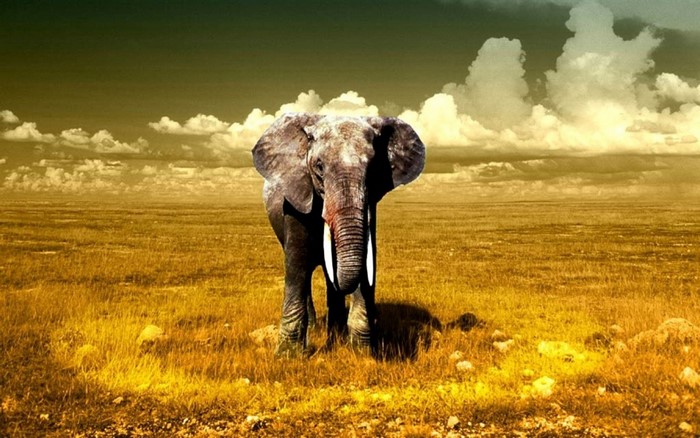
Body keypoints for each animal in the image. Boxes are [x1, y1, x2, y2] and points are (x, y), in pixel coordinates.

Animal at [252, 112, 425, 356]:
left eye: (373, 170)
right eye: (319, 166)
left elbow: (365, 261)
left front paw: (361, 352)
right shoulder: (295, 197)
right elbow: (297, 263)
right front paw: (288, 356)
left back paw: (335, 333)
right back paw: (316, 330)